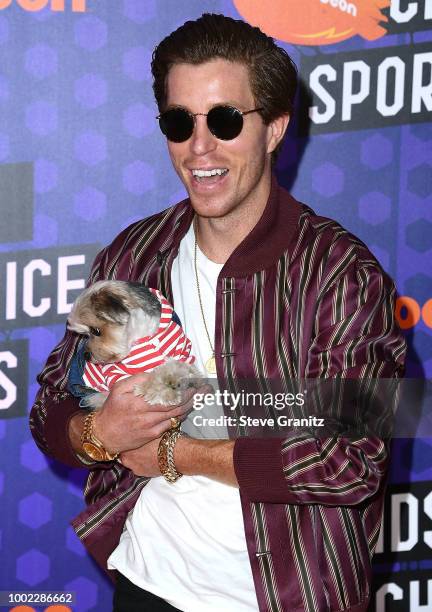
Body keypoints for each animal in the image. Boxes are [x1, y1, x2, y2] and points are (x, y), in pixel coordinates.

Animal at [67, 280, 201, 408]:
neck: (142, 334)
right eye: (85, 334)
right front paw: (157, 390)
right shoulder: (116, 374)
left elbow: (177, 366)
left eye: (96, 331)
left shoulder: (183, 354)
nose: (86, 356)